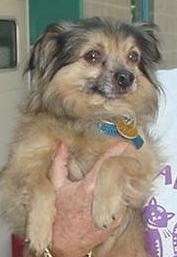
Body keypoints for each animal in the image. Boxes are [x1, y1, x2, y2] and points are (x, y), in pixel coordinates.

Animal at [0, 17, 162, 255]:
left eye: (133, 57)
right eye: (92, 55)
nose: (127, 77)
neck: (94, 117)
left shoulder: (144, 164)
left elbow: (113, 162)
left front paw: (104, 207)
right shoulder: (17, 169)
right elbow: (41, 184)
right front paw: (38, 231)